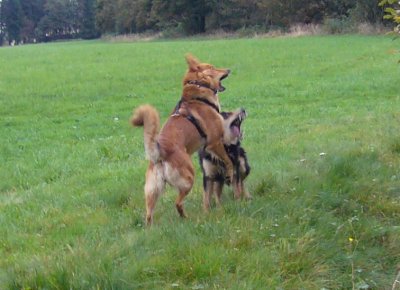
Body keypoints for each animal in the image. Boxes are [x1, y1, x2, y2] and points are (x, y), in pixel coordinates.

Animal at [131, 55, 233, 227]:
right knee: (178, 203)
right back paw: (186, 218)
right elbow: (228, 161)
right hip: (188, 179)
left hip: (152, 190)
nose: (229, 69)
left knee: (149, 215)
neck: (198, 91)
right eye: (212, 67)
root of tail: (159, 153)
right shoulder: (215, 142)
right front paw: (230, 175)